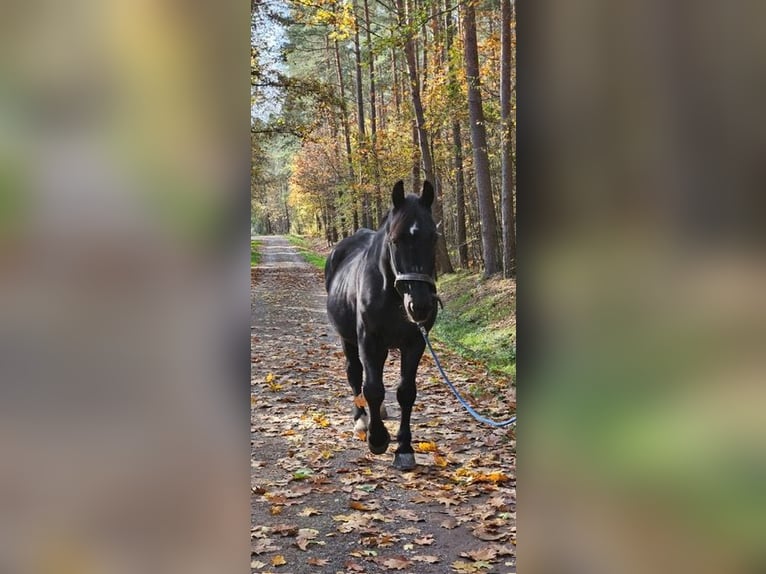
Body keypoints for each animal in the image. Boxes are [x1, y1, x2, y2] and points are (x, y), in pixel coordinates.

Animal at [328, 181, 440, 472]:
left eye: (434, 238)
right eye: (395, 240)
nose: (420, 306)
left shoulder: (415, 343)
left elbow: (405, 392)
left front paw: (404, 449)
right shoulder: (369, 340)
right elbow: (372, 388)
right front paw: (377, 439)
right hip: (348, 340)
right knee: (355, 374)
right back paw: (361, 419)